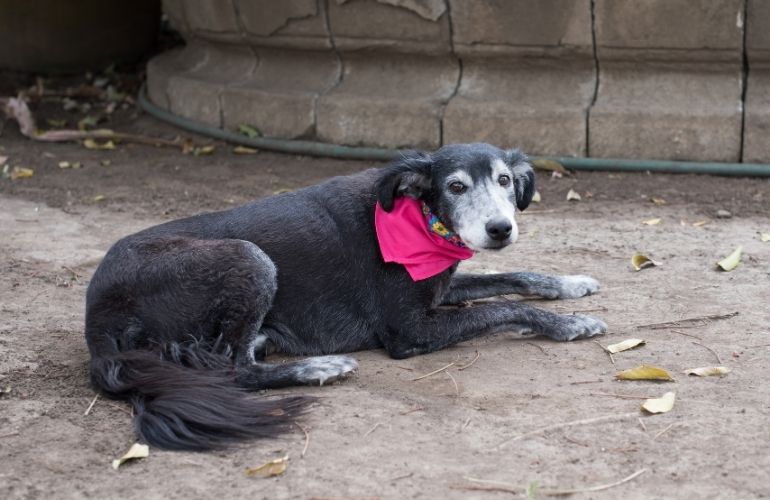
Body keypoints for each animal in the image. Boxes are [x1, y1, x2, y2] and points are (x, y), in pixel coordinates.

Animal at [85, 143, 608, 452]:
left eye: (503, 180)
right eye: (456, 186)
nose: (500, 228)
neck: (419, 216)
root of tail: (96, 318)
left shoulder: (440, 286)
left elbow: (512, 277)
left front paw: (570, 283)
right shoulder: (408, 331)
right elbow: (501, 306)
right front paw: (569, 324)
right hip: (249, 257)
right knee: (231, 368)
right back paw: (319, 367)